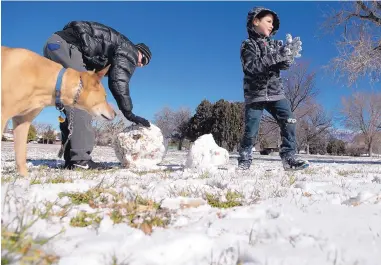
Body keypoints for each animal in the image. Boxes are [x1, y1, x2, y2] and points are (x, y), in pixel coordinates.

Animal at [1, 46, 116, 176]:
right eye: (105, 96)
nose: (116, 113)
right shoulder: (3, 115)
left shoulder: (22, 121)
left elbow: (21, 155)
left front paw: (24, 178)